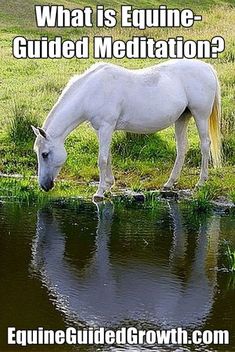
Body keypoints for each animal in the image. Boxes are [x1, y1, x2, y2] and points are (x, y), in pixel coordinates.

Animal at [32, 59, 221, 199]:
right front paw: (109, 185)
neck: (92, 90)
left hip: (200, 115)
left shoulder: (106, 127)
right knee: (182, 148)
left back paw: (201, 182)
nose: (44, 185)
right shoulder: (102, 129)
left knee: (205, 145)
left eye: (45, 154)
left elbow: (102, 159)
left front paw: (99, 192)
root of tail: (207, 67)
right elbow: (108, 157)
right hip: (182, 118)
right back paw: (169, 183)